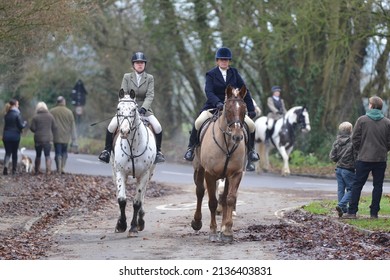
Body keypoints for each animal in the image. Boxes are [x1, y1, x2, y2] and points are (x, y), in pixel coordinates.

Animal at [190, 85, 247, 243]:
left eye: (244, 110)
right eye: (227, 110)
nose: (237, 136)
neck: (227, 142)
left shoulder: (235, 174)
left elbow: (230, 199)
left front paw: (227, 231)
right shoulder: (210, 174)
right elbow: (212, 202)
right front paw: (213, 231)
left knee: (224, 197)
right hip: (199, 168)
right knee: (200, 192)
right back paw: (197, 222)